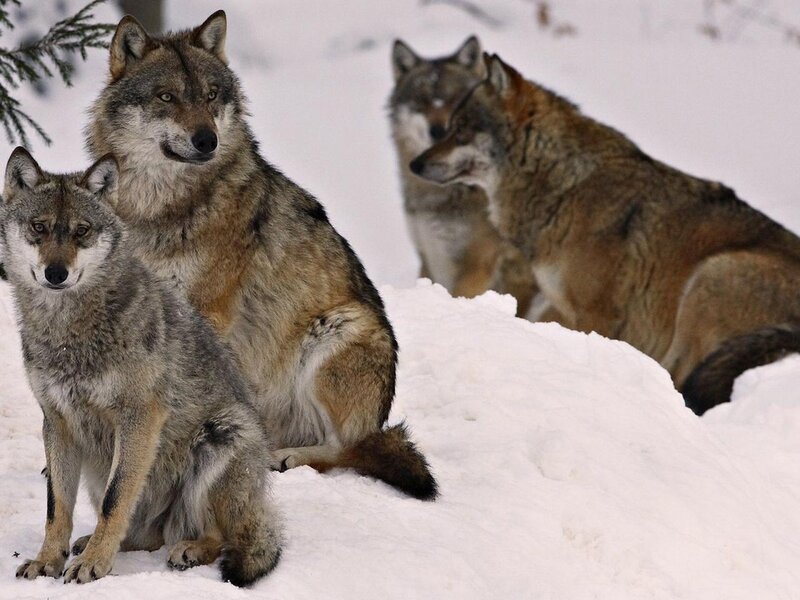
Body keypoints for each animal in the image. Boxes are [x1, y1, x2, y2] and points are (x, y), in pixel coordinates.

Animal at [3, 148, 281, 586]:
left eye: (82, 231)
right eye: (39, 227)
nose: (56, 273)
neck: (69, 332)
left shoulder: (139, 417)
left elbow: (116, 500)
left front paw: (93, 566)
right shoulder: (57, 422)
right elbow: (56, 507)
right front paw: (48, 561)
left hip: (222, 434)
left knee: (220, 536)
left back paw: (189, 549)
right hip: (98, 468)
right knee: (145, 536)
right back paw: (95, 543)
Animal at [85, 12, 437, 499]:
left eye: (211, 95)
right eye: (166, 97)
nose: (207, 140)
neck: (158, 207)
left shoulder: (207, 311)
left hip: (337, 331)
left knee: (350, 450)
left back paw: (286, 458)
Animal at [410, 53, 800, 415]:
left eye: (461, 129)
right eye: (450, 127)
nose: (415, 164)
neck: (566, 185)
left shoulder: (596, 313)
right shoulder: (566, 307)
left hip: (709, 279)